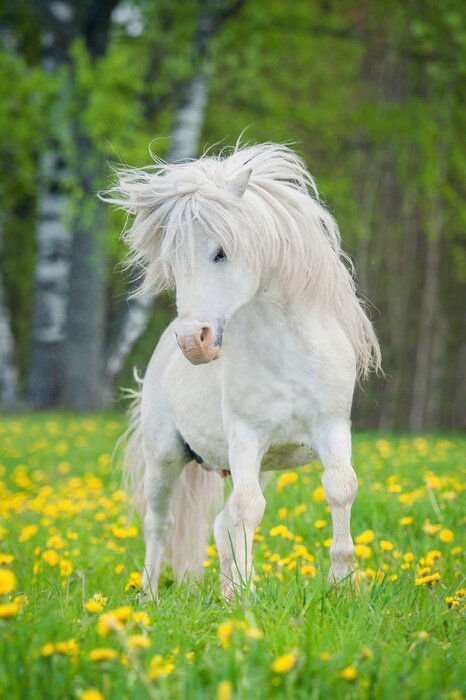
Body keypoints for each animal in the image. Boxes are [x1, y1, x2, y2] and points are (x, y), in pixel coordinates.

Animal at [105, 142, 381, 600]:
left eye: (221, 251)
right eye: (173, 262)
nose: (193, 342)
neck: (286, 356)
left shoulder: (331, 429)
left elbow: (341, 488)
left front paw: (340, 585)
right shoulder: (246, 437)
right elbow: (248, 510)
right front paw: (249, 597)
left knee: (220, 524)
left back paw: (225, 591)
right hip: (165, 457)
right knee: (160, 523)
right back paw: (151, 597)